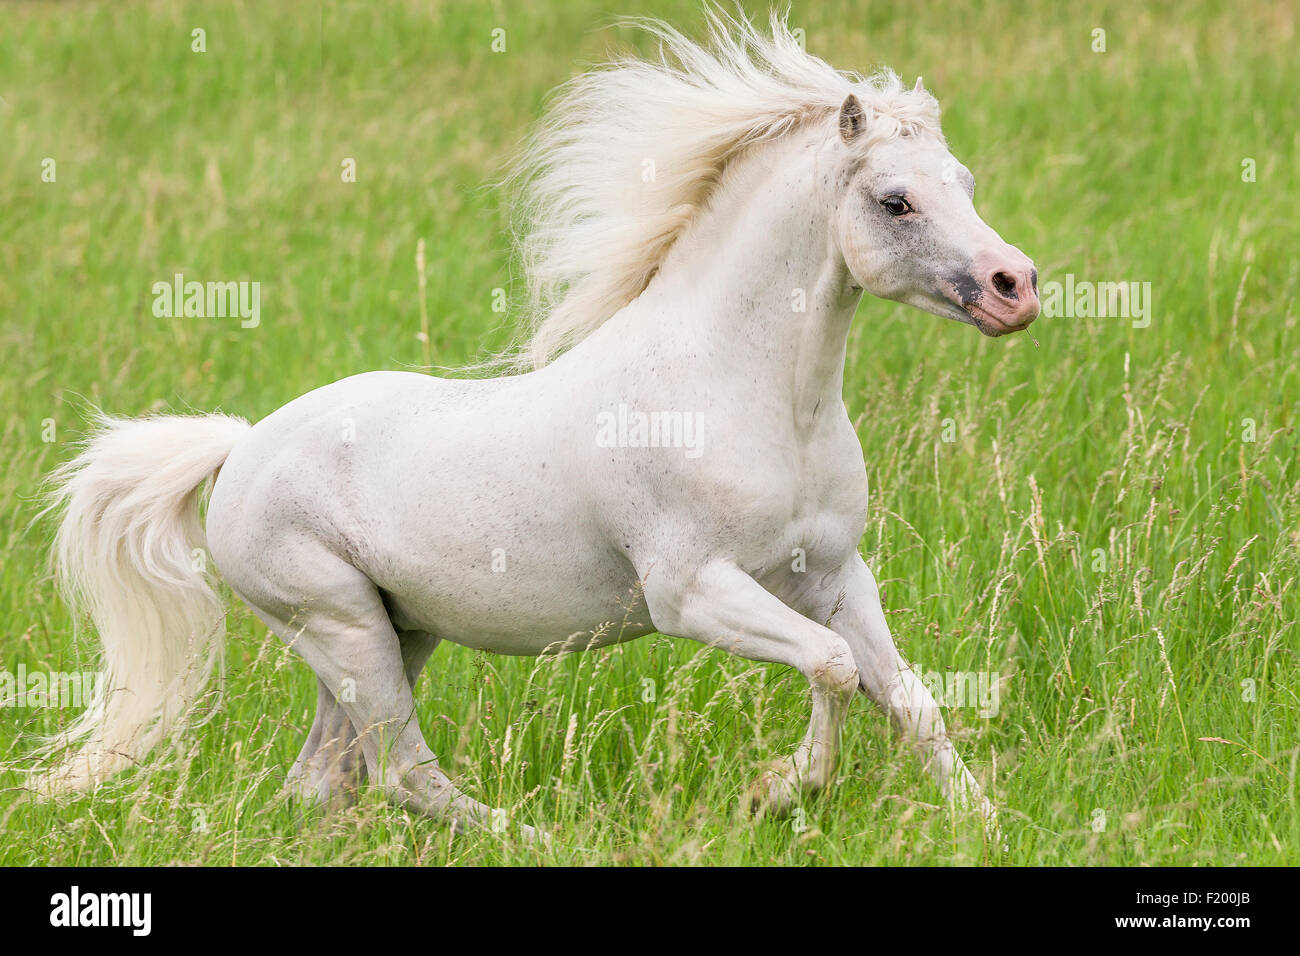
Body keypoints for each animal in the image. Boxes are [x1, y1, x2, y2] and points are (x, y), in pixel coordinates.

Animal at [31, 12, 1038, 841]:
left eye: (965, 181)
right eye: (894, 201)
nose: (1015, 288)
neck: (753, 401)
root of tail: (238, 447)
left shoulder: (834, 576)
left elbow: (908, 700)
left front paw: (989, 823)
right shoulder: (692, 592)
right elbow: (832, 670)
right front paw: (778, 792)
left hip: (388, 633)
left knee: (322, 781)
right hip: (341, 626)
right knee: (402, 773)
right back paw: (541, 839)